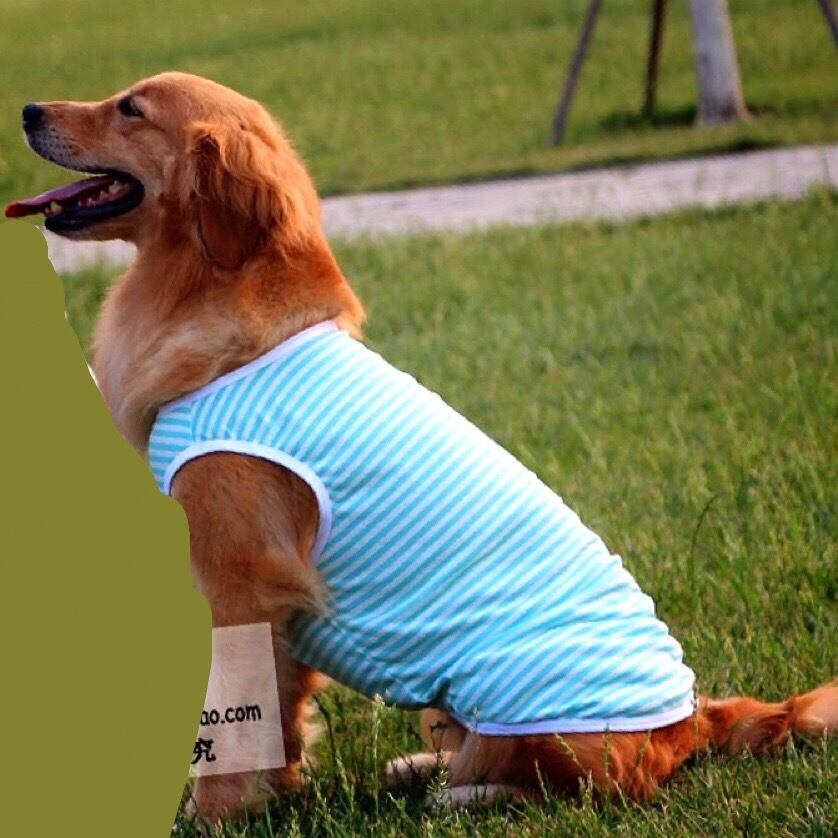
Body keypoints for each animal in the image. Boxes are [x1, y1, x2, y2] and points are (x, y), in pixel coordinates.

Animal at [7, 72, 836, 827]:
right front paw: (275, 794)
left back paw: (461, 792)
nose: (27, 108)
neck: (216, 304)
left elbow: (233, 724)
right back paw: (421, 768)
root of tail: (690, 718)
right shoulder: (280, 600)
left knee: (589, 789)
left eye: (130, 108)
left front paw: (210, 817)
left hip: (516, 691)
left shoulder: (239, 579)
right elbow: (278, 715)